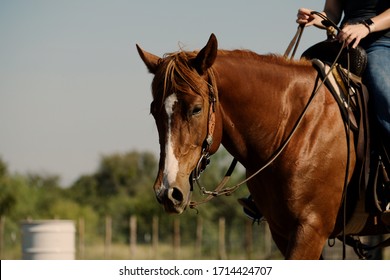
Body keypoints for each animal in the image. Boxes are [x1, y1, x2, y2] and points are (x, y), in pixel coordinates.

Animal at [136, 34, 386, 260]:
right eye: (154, 111)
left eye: (196, 109)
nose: (167, 192)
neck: (293, 129)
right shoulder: (282, 231)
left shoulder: (311, 228)